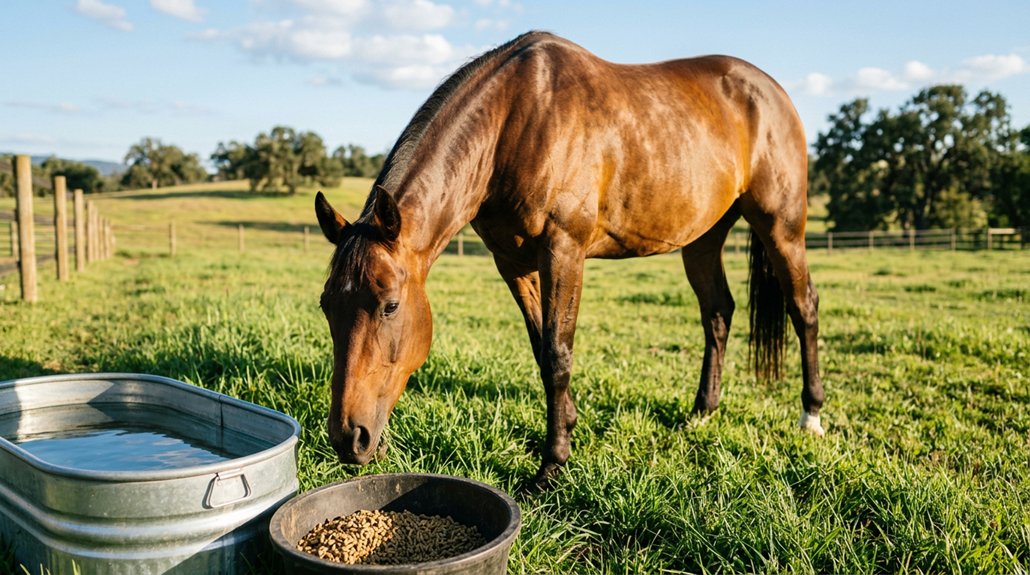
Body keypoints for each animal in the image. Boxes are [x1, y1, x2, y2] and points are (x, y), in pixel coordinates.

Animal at [315, 31, 824, 486]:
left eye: (390, 306)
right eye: (326, 307)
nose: (348, 438)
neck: (513, 124)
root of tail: (772, 91)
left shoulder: (564, 251)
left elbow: (558, 353)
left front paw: (552, 466)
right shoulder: (512, 262)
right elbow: (541, 348)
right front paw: (570, 425)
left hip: (782, 228)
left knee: (803, 308)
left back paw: (811, 416)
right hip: (703, 238)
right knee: (718, 312)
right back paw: (701, 413)